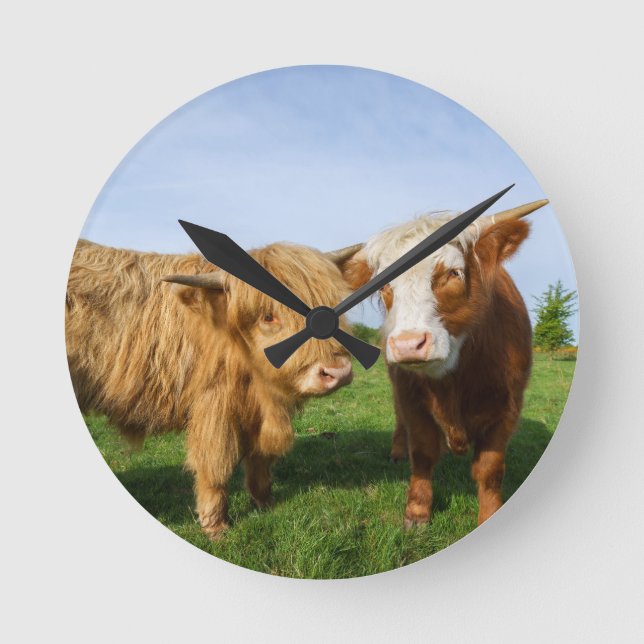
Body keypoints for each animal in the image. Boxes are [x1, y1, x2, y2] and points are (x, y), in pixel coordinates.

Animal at [65, 238, 360, 539]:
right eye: (268, 317)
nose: (337, 372)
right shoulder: (214, 405)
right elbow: (215, 463)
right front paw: (216, 526)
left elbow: (260, 458)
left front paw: (265, 502)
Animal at [341, 200, 548, 528]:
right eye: (385, 285)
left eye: (454, 273)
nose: (408, 344)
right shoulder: (411, 398)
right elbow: (423, 453)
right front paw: (417, 512)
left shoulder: (509, 408)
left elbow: (490, 469)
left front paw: (489, 515)